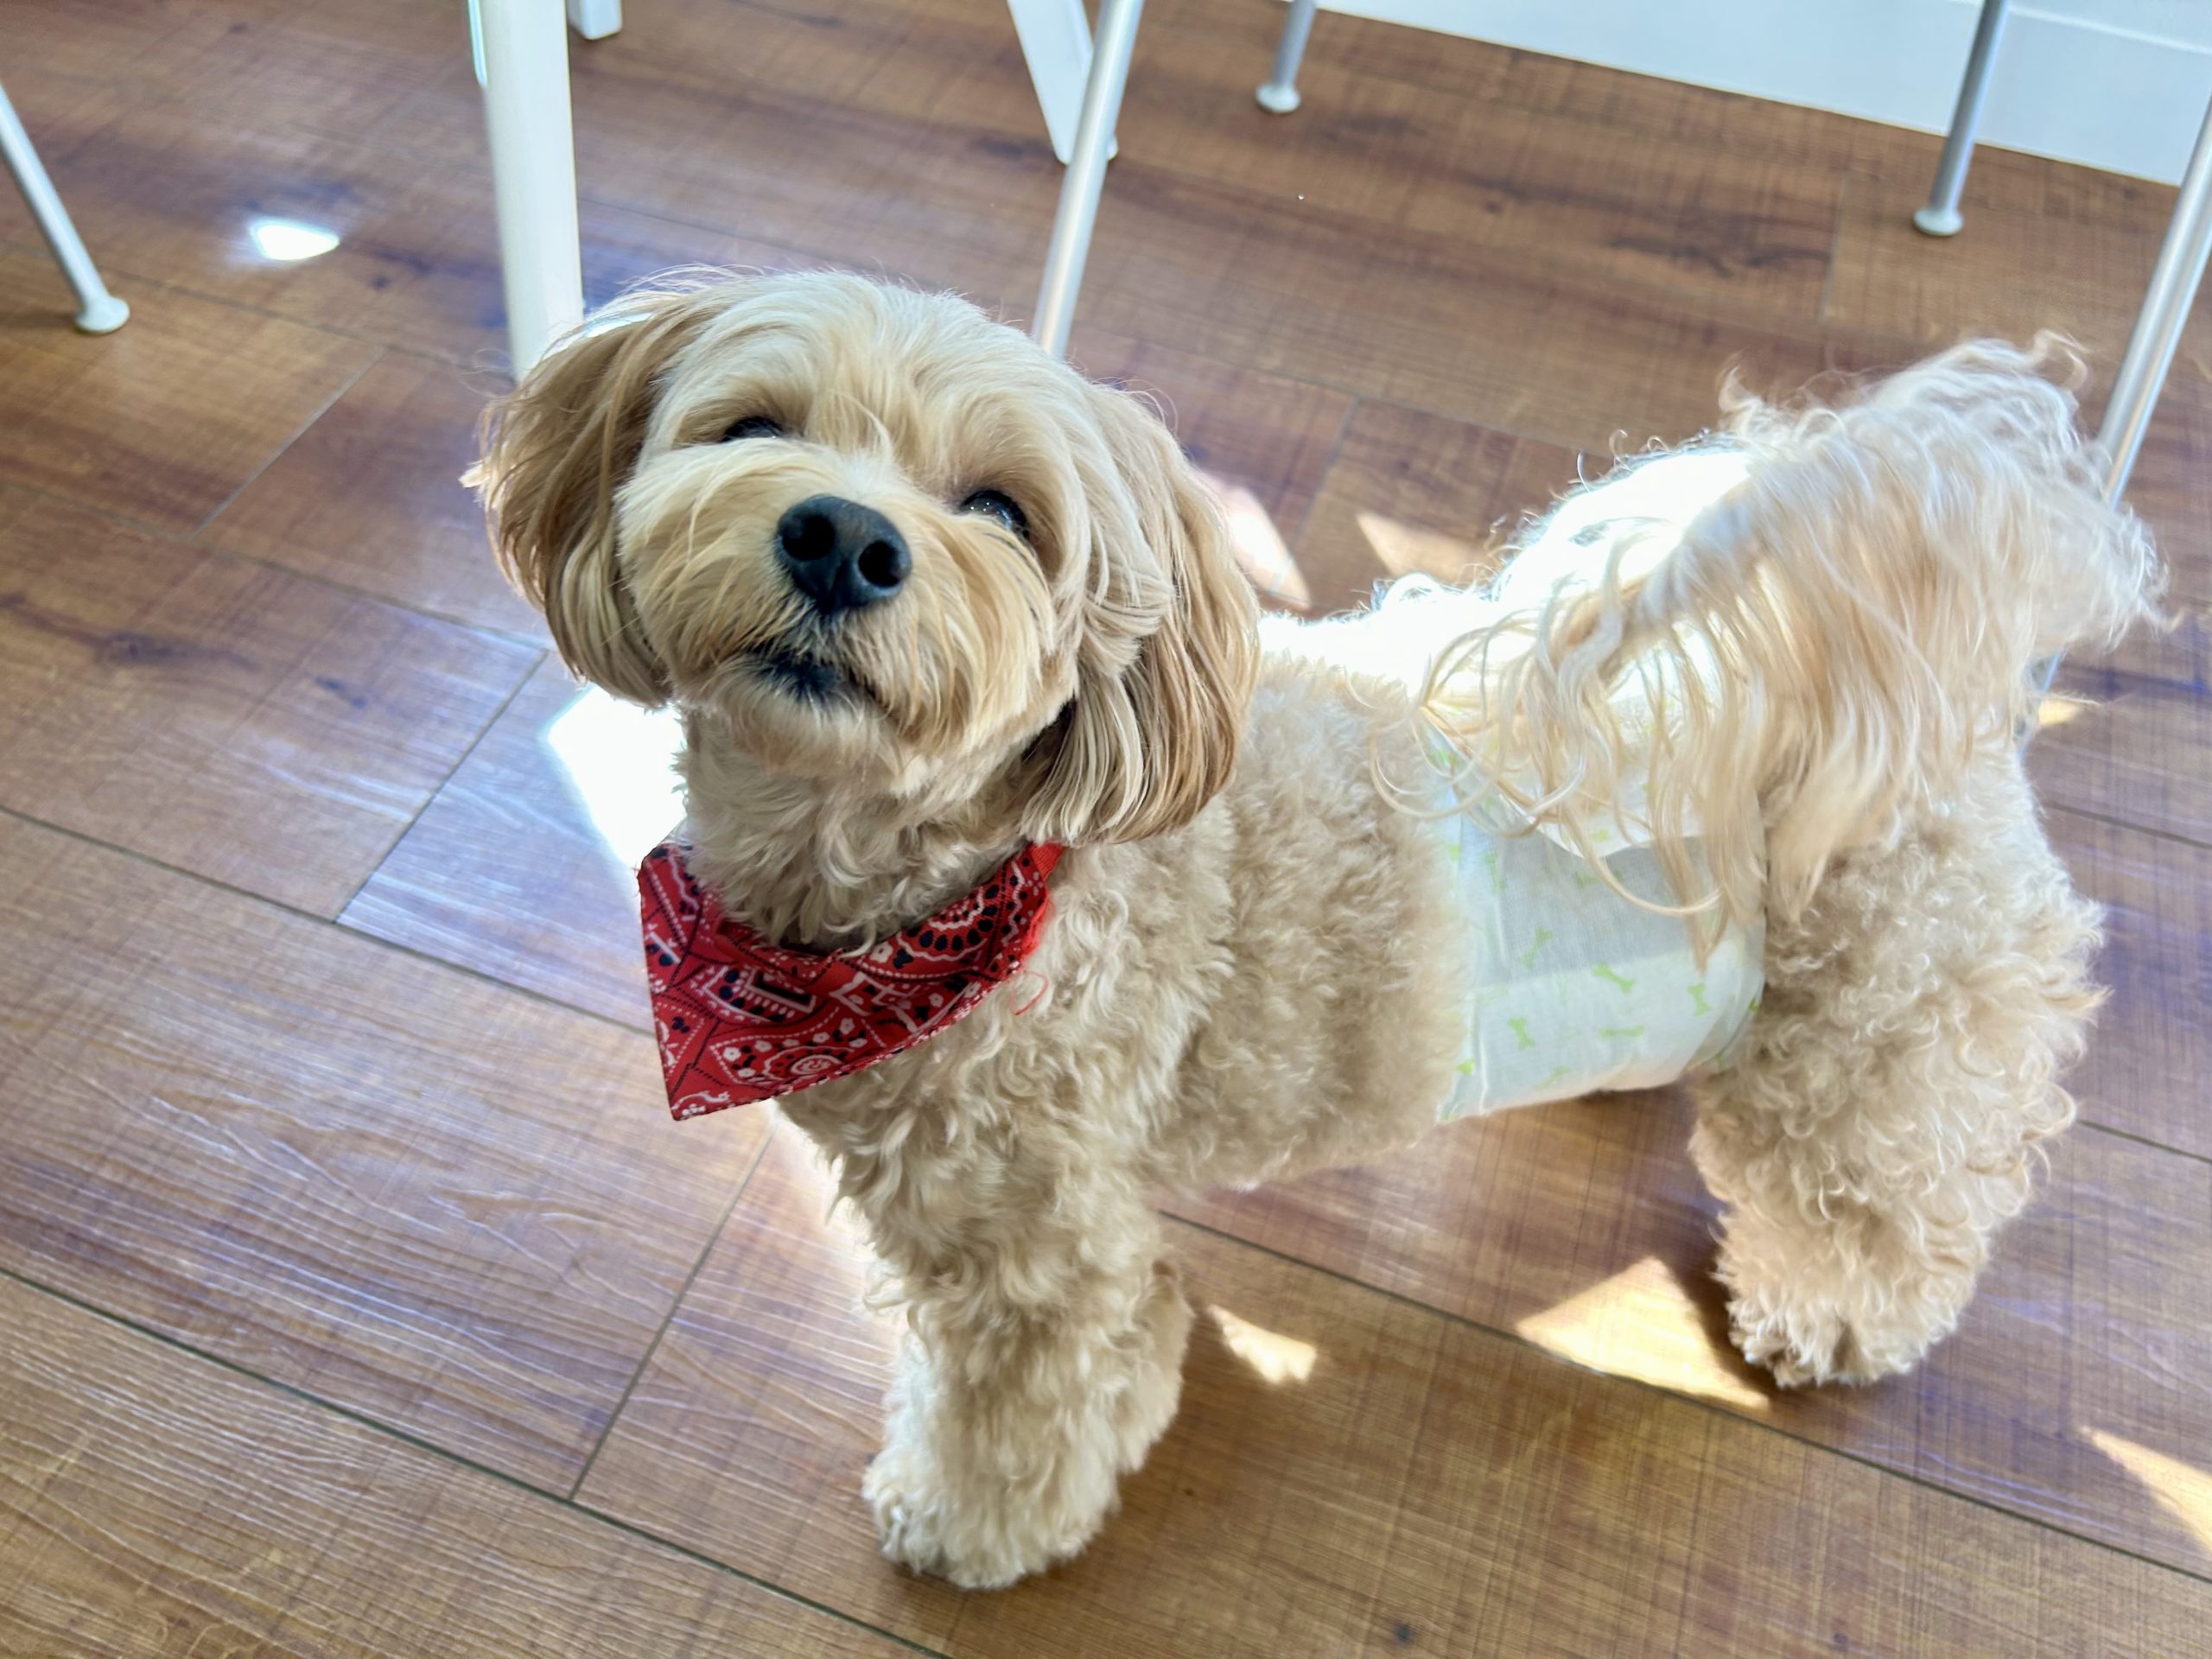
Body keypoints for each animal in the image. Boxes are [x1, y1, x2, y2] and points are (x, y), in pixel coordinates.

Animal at [473, 270, 2161, 1589]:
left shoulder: (1031, 1249)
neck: (963, 895)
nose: (842, 540)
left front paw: (969, 1531)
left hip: (1878, 1044)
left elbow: (1033, 1404)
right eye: (753, 427)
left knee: (1889, 1200)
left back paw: (1831, 1317)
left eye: (1003, 512)